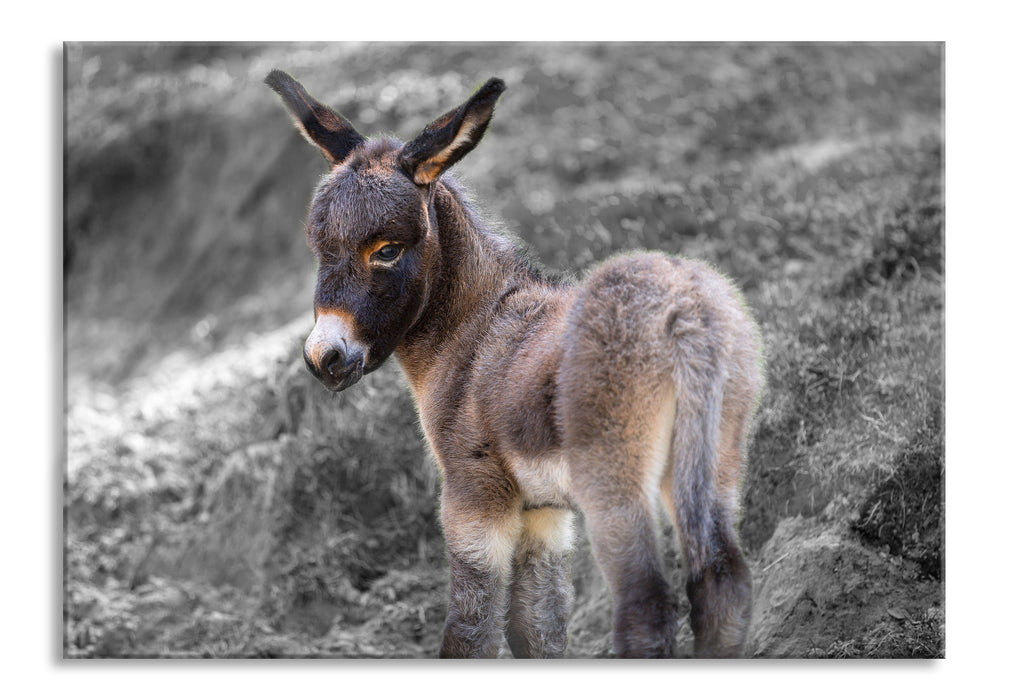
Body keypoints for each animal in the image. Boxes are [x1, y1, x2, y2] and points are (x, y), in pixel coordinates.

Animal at [268, 71, 762, 657]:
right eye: (319, 248)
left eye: (386, 250)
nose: (325, 358)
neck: (473, 332)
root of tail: (685, 312)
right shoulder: (544, 513)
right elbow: (536, 628)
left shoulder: (474, 496)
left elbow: (471, 631)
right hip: (711, 463)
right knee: (722, 584)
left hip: (615, 485)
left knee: (645, 606)